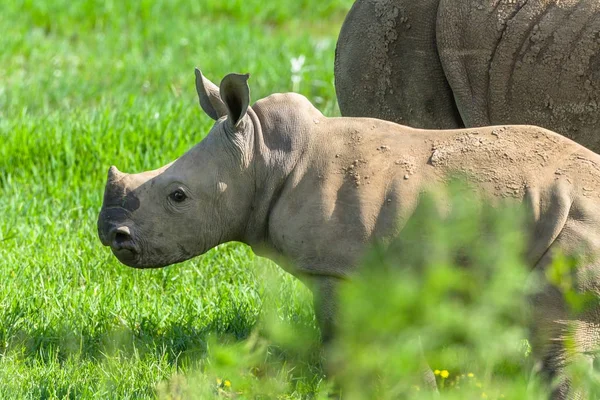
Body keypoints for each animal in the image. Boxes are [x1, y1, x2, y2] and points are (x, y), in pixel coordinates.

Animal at [98, 70, 600, 398]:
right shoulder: (378, 269)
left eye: (178, 196)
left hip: (574, 225)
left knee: (556, 321)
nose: (111, 235)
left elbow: (342, 341)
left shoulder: (336, 271)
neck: (262, 161)